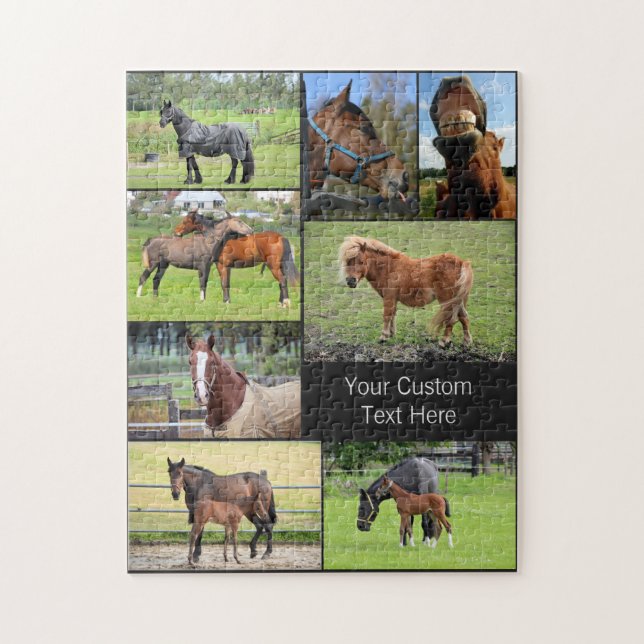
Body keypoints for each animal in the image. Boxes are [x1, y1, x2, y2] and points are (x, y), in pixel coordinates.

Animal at [338, 236, 473, 346]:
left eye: (361, 261)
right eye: (347, 261)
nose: (350, 281)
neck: (389, 268)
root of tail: (462, 262)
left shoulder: (388, 297)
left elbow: (386, 315)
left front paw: (383, 336)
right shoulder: (393, 299)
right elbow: (392, 315)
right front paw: (391, 334)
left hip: (448, 300)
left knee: (452, 319)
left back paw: (444, 341)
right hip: (458, 300)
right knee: (463, 317)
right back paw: (467, 341)